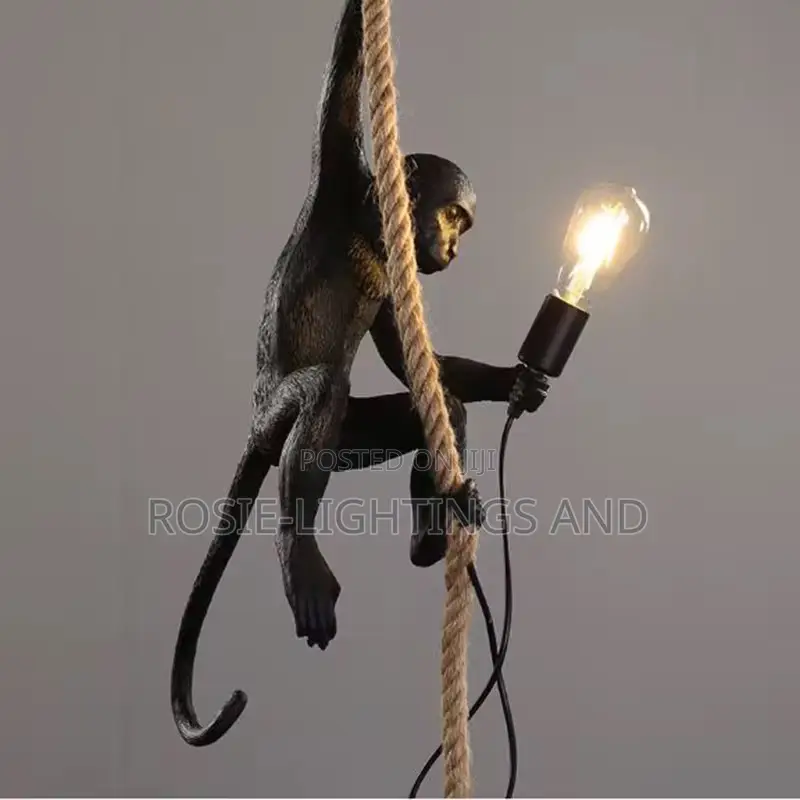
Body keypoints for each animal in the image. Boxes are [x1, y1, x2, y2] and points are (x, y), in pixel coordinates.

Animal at [170, 0, 547, 748]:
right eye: (453, 214)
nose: (453, 248)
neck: (375, 226)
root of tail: (255, 435)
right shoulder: (340, 169)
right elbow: (339, 87)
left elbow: (420, 364)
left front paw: (513, 381)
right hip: (276, 419)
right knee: (322, 391)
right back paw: (301, 557)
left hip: (352, 438)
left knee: (433, 409)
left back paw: (435, 534)